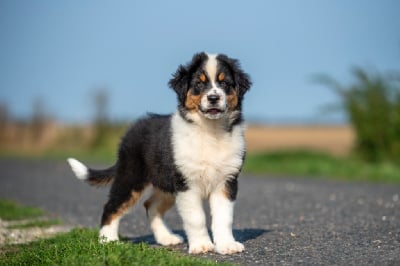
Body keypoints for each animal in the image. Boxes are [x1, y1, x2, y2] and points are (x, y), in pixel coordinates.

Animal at [67, 51, 252, 254]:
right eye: (198, 83)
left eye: (225, 83)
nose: (213, 98)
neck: (211, 130)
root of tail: (131, 131)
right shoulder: (186, 184)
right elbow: (196, 218)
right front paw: (202, 245)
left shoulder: (226, 181)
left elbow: (223, 218)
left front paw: (226, 245)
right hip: (131, 177)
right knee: (112, 206)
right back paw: (108, 241)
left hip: (165, 184)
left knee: (151, 205)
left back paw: (166, 238)